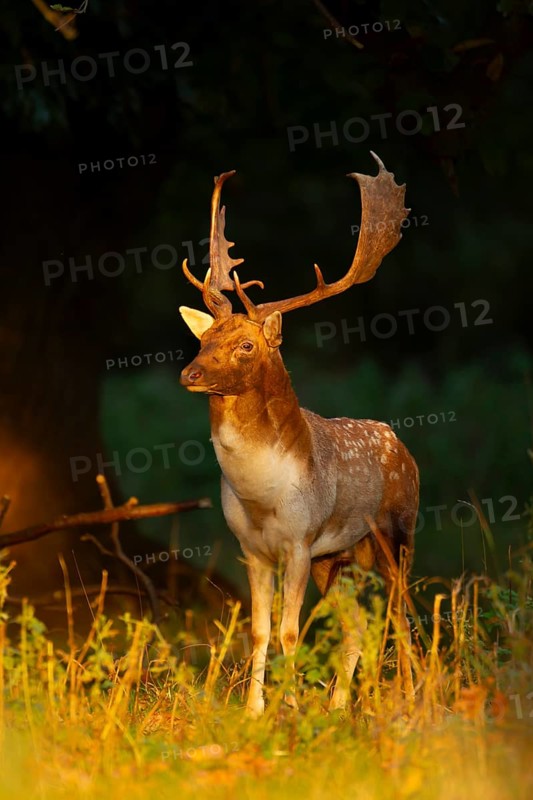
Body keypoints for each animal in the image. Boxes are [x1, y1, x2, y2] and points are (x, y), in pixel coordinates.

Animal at [178, 153, 419, 717]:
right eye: (203, 337)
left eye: (246, 345)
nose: (190, 373)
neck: (262, 496)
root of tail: (403, 446)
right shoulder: (252, 548)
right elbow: (261, 631)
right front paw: (255, 713)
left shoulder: (301, 541)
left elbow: (291, 633)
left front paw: (287, 710)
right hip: (344, 559)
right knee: (357, 628)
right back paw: (339, 708)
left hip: (399, 532)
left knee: (400, 615)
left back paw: (405, 705)